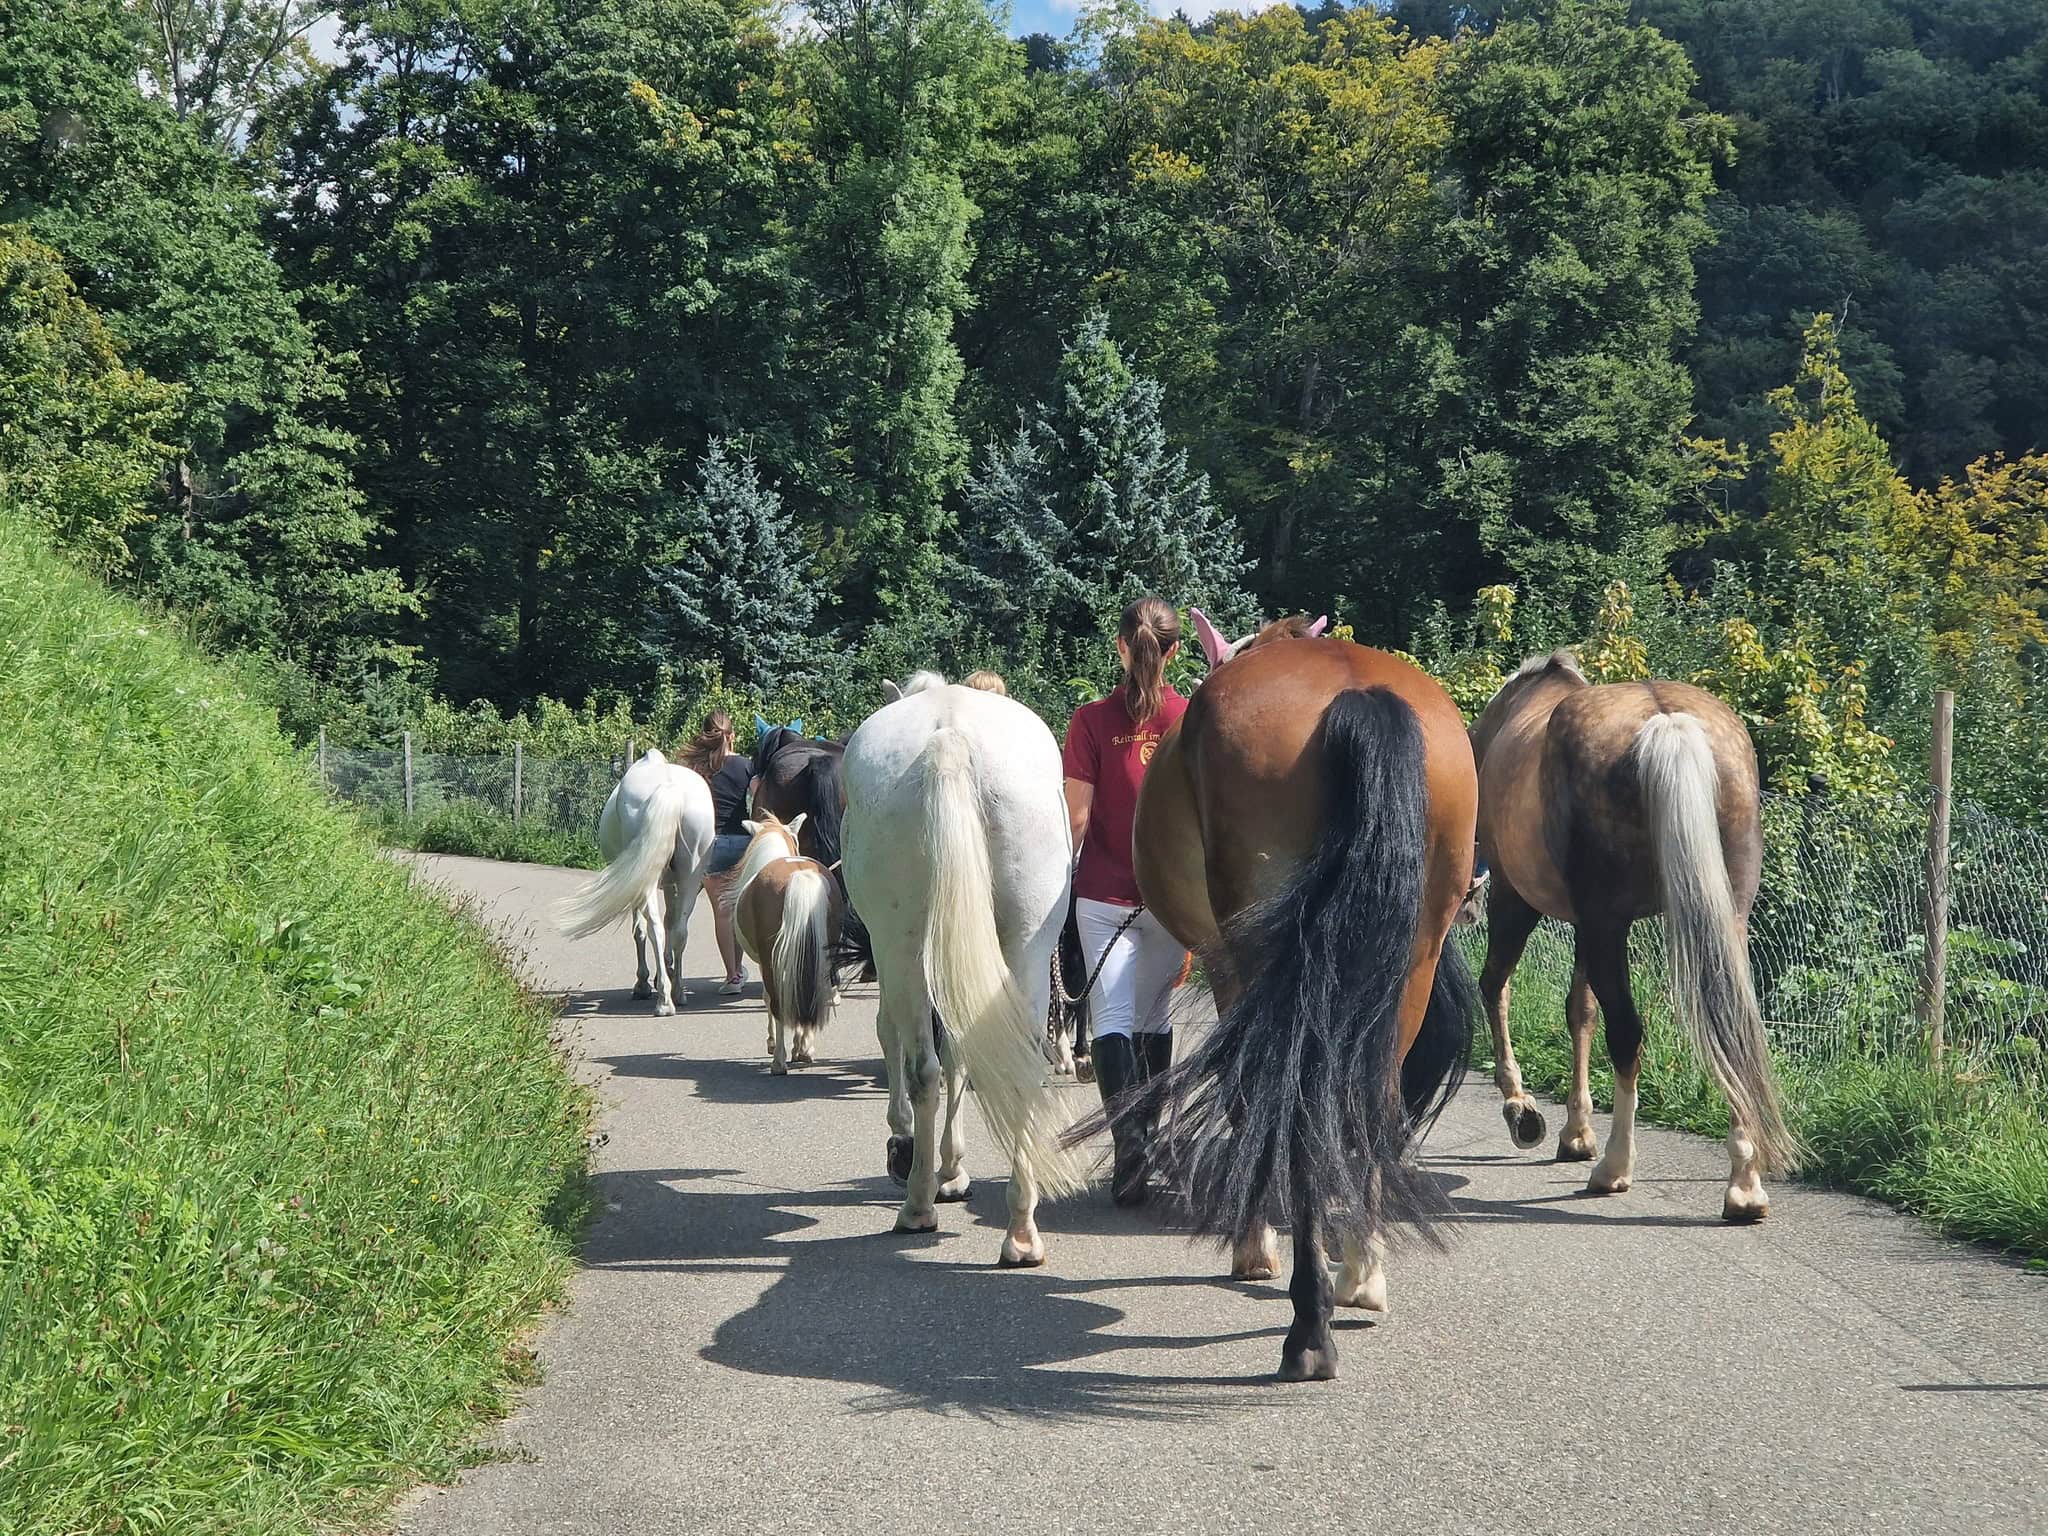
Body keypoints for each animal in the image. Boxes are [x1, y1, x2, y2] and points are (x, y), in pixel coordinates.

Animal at [557, 748, 716, 1015]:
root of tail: (668, 787)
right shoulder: (671, 884)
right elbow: (671, 922)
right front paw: (667, 969)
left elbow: (639, 930)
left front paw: (643, 983)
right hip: (690, 876)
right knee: (679, 930)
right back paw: (678, 992)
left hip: (646, 881)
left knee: (653, 928)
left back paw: (664, 1001)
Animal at [728, 811, 843, 1074]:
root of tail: (801, 874)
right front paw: (799, 1047)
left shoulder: (766, 962)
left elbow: (768, 998)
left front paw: (773, 1043)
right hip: (821, 956)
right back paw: (805, 1050)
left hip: (772, 960)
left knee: (778, 1002)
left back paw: (778, 1062)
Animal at [840, 674, 1090, 1266]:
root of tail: (949, 737)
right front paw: (948, 1170)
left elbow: (902, 1040)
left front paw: (921, 1155)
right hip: (1025, 944)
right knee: (1016, 1069)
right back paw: (1020, 1233)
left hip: (900, 947)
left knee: (922, 1066)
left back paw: (917, 1205)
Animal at [1115, 630, 1478, 1381]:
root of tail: (1356, 694)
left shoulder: (1229, 969)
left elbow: (1246, 1102)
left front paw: (1254, 1245)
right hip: (1413, 958)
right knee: (1367, 1100)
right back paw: (1362, 1274)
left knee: (1292, 1103)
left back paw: (1310, 1325)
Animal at [1468, 651, 1797, 1220]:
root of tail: (1666, 723)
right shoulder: (1587, 924)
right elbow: (1580, 1012)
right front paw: (1575, 1131)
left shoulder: (1521, 902)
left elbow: (1497, 988)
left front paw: (1522, 1109)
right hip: (1724, 915)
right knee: (1731, 1021)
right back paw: (1745, 1185)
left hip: (1597, 921)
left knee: (1626, 1033)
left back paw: (1615, 1168)